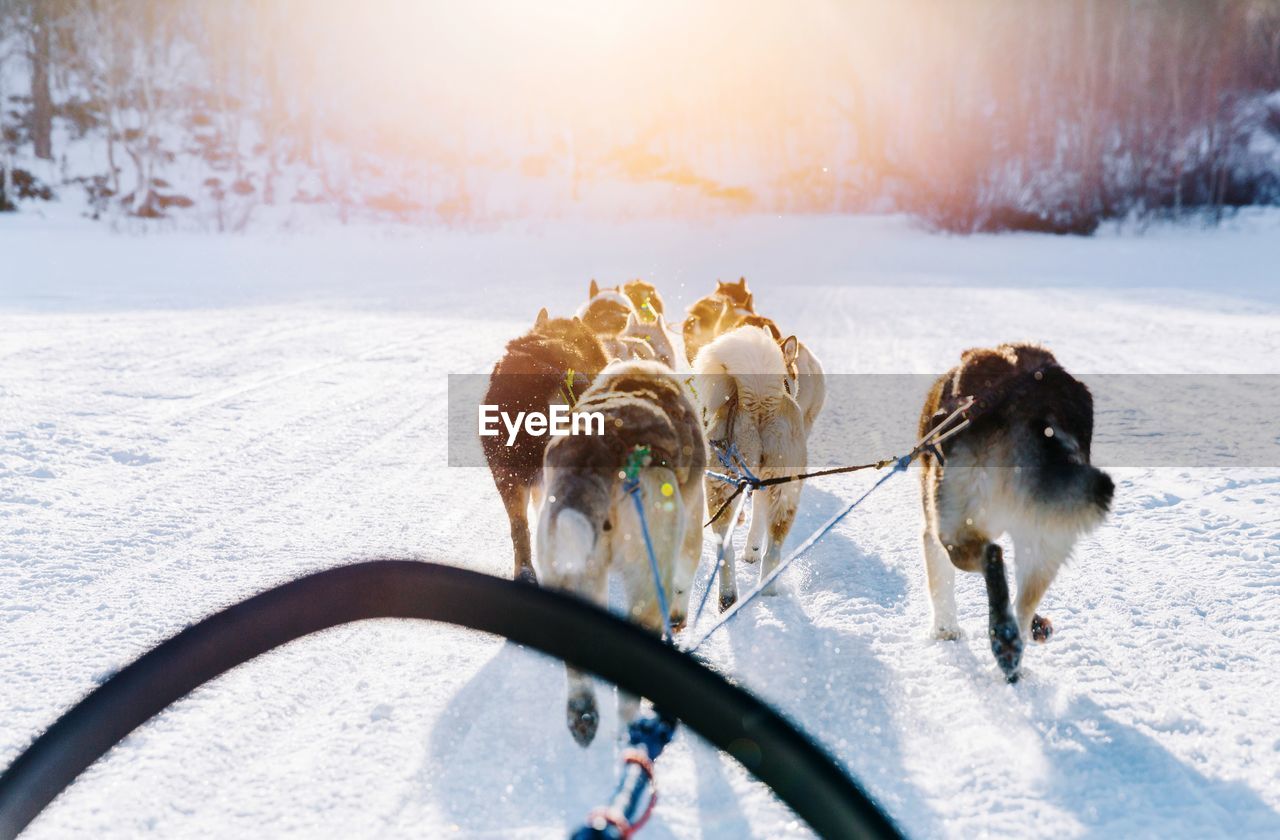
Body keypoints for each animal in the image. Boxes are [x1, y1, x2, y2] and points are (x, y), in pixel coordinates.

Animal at [696, 325, 803, 606]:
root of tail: (758, 401)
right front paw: (752, 550)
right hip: (783, 490)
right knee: (770, 551)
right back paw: (764, 592)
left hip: (725, 484)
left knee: (728, 551)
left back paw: (729, 597)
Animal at [921, 345, 1111, 681]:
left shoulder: (935, 531)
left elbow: (941, 586)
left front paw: (945, 630)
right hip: (1046, 538)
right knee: (1022, 606)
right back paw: (1010, 648)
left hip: (956, 530)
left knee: (990, 555)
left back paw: (1002, 633)